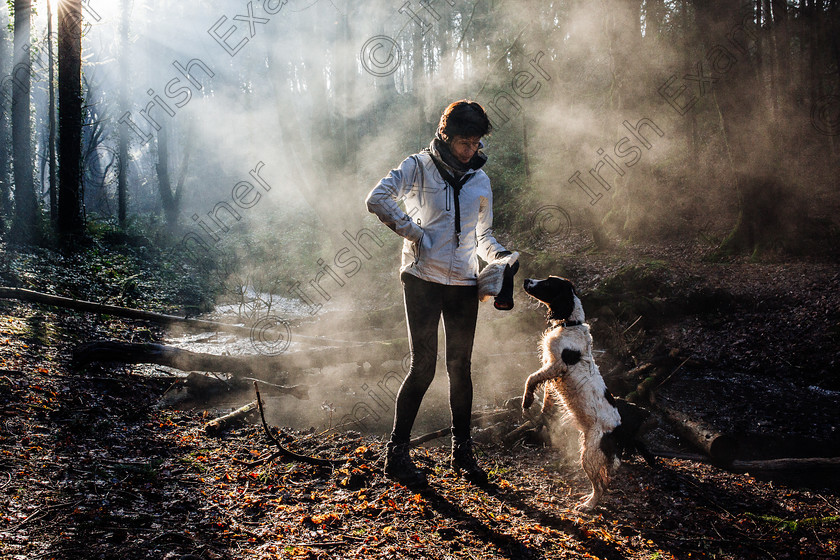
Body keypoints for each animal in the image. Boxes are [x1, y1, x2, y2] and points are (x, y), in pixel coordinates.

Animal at [520, 276, 652, 512]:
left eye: (548, 283)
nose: (527, 279)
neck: (570, 324)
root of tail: (619, 431)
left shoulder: (557, 365)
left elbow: (531, 379)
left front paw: (527, 401)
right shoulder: (551, 367)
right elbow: (546, 393)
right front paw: (542, 410)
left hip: (589, 454)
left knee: (600, 485)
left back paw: (588, 505)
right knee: (604, 480)